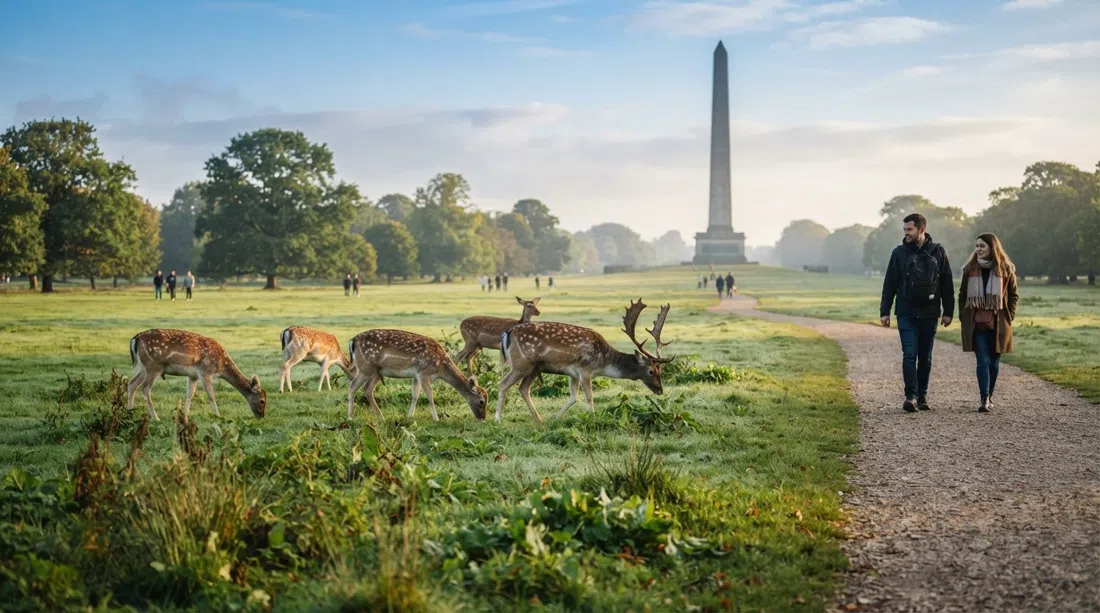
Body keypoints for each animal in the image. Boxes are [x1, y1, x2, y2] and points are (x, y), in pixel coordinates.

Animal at [126, 329, 266, 421]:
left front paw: (185, 416)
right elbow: (211, 395)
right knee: (145, 388)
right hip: (153, 366)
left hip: (144, 367)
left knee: (131, 384)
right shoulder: (205, 372)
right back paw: (156, 417)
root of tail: (135, 339)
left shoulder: (193, 375)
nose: (261, 416)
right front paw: (218, 416)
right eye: (262, 400)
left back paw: (130, 413)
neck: (222, 367)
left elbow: (190, 394)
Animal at [346, 329, 488, 421]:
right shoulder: (423, 373)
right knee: (353, 386)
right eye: (481, 401)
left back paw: (381, 417)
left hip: (377, 371)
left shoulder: (415, 376)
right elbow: (430, 396)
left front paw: (410, 416)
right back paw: (350, 417)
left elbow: (415, 395)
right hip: (366, 368)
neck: (440, 367)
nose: (483, 418)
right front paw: (436, 419)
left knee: (367, 389)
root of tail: (352, 341)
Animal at [493, 298, 675, 423]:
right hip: (521, 363)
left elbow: (574, 397)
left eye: (660, 370)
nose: (660, 390)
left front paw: (555, 417)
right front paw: (594, 418)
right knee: (503, 384)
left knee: (523, 389)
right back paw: (497, 419)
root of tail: (507, 333)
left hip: (534, 368)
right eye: (651, 371)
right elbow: (589, 396)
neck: (603, 362)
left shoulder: (573, 374)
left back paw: (540, 419)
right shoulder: (585, 370)